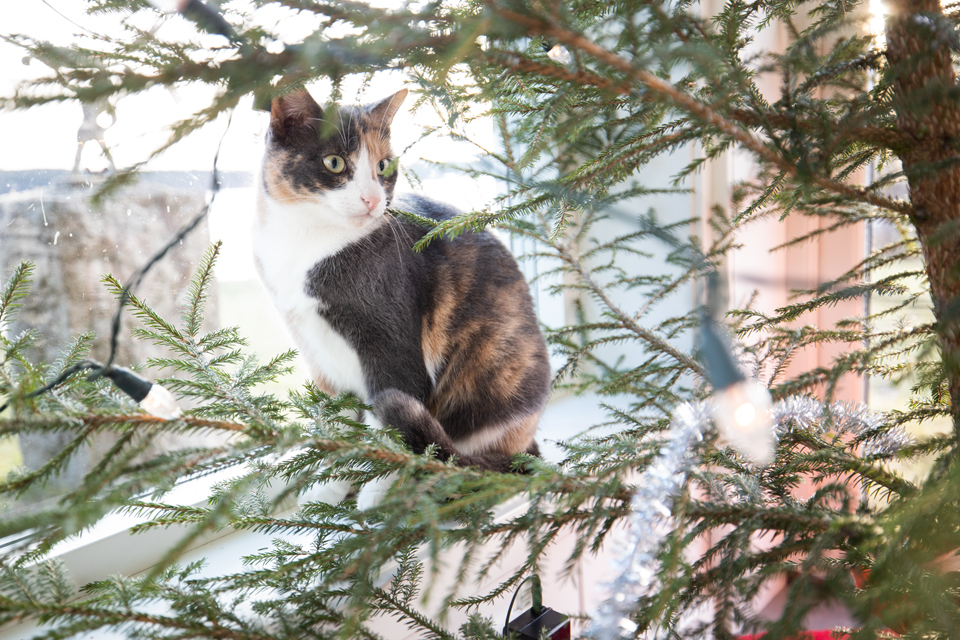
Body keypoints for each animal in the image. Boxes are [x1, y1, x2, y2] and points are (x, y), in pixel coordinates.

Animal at [251, 87, 552, 492]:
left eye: (383, 166)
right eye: (334, 162)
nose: (373, 200)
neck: (307, 244)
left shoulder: (393, 348)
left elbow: (389, 428)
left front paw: (378, 487)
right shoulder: (317, 354)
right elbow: (335, 422)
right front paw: (332, 481)